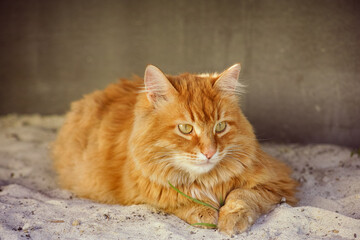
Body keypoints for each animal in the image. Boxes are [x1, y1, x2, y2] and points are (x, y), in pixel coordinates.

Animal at [52, 63, 296, 234]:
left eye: (220, 126)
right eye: (186, 128)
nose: (210, 152)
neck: (205, 180)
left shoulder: (277, 181)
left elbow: (242, 195)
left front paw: (232, 219)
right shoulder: (142, 192)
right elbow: (179, 199)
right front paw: (205, 211)